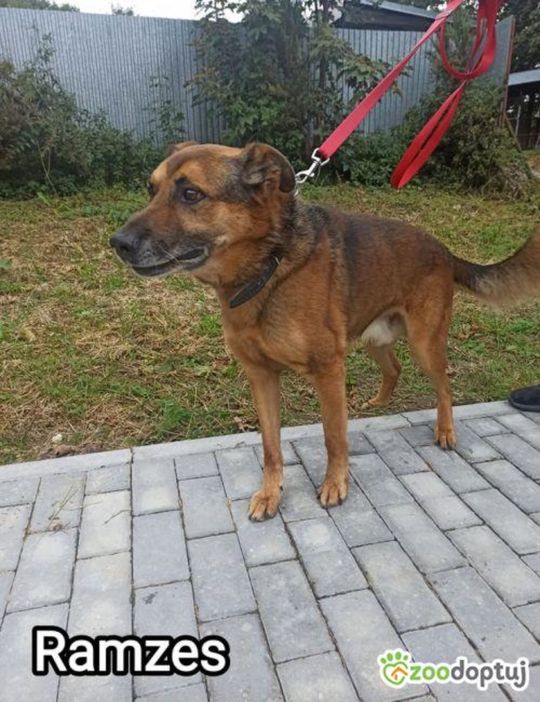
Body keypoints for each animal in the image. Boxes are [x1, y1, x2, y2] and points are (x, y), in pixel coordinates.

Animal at [111, 141, 540, 520]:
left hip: (423, 344)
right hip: (374, 337)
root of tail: (444, 250)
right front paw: (271, 493)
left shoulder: (328, 371)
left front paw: (335, 485)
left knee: (444, 384)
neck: (268, 267)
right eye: (151, 189)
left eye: (191, 194)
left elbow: (334, 436)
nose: (118, 243)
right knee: (394, 368)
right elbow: (270, 445)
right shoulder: (261, 376)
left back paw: (446, 430)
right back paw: (378, 403)